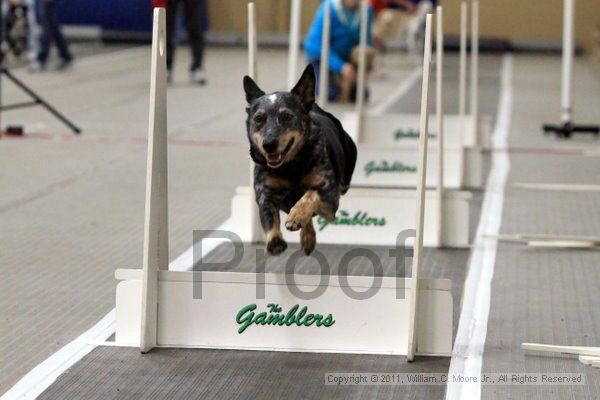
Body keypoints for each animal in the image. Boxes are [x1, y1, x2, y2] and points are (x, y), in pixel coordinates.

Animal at [243, 64, 356, 255]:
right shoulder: (264, 192)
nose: (269, 144)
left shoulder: (331, 199)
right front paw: (274, 240)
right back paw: (307, 238)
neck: (290, 168)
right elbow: (268, 215)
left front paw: (297, 215)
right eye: (258, 118)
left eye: (286, 116)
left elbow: (310, 195)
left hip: (344, 182)